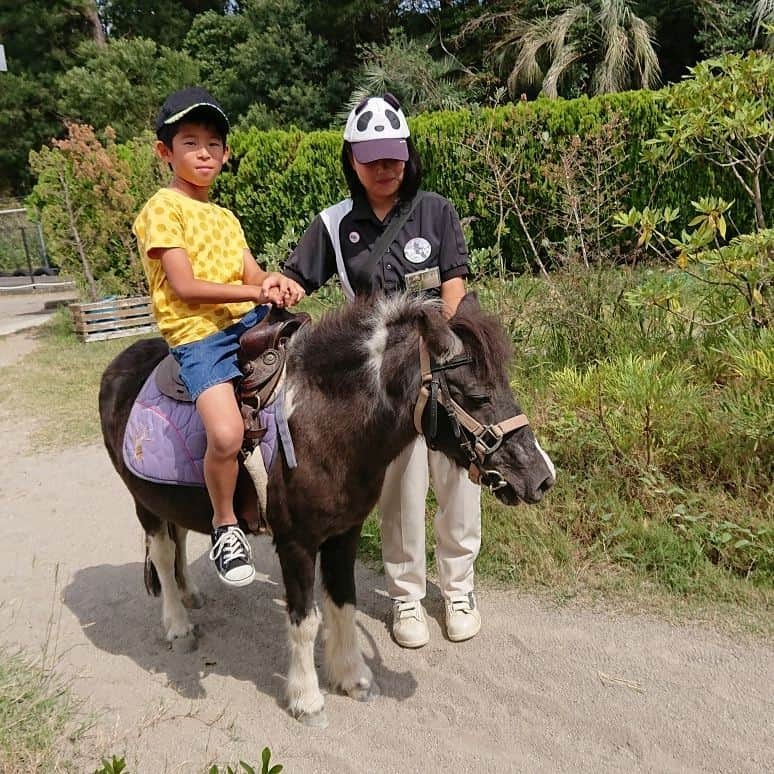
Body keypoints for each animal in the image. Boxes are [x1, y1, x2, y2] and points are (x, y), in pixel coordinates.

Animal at [100, 294, 556, 732]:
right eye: (476, 396)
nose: (540, 478)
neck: (321, 425)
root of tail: (117, 366)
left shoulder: (344, 533)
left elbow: (343, 605)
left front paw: (353, 678)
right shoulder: (296, 544)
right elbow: (305, 620)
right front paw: (308, 700)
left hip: (169, 500)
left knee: (177, 540)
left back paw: (191, 595)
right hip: (144, 503)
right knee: (162, 556)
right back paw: (178, 627)